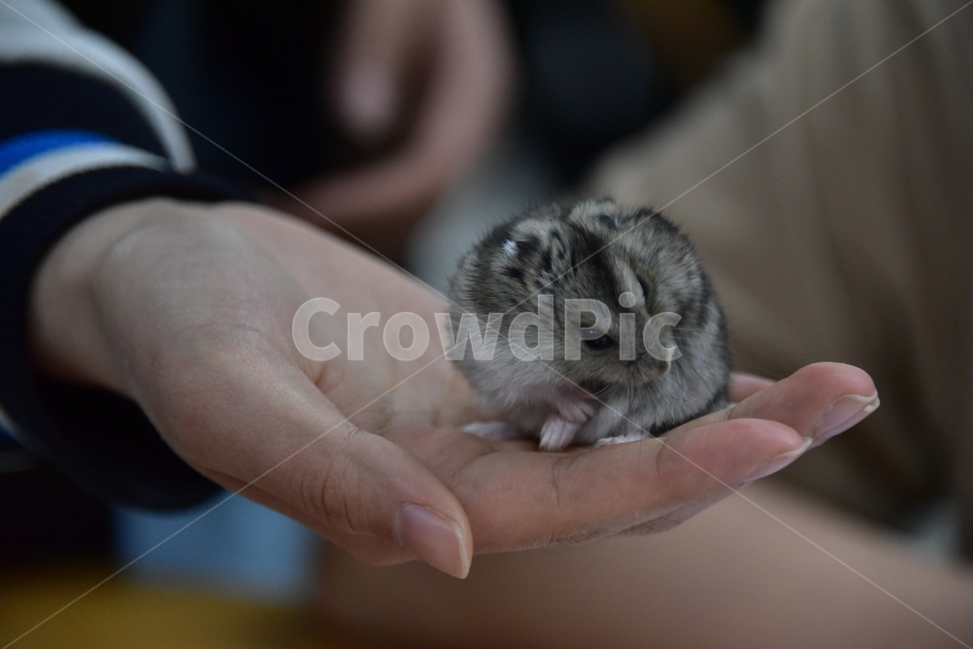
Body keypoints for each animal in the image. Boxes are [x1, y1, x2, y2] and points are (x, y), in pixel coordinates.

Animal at [447, 198, 731, 451]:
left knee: (646, 426)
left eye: (644, 288)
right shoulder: (495, 365)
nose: (664, 367)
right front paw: (576, 413)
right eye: (597, 341)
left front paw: (563, 427)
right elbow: (540, 387)